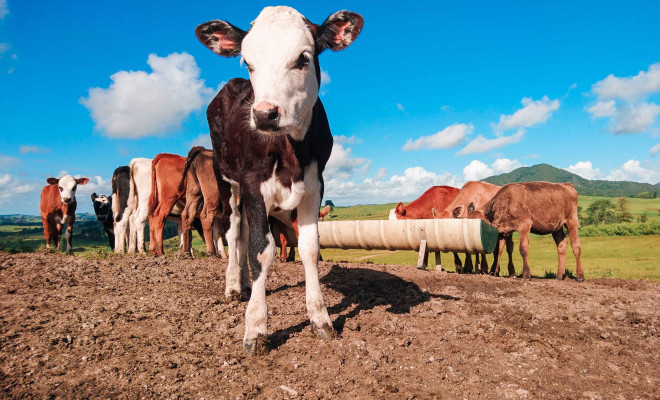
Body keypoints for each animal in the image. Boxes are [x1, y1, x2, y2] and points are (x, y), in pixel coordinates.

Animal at [196, 6, 364, 354]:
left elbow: (310, 248)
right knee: (234, 233)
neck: (291, 151)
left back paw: (244, 283)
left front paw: (320, 319)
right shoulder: (252, 184)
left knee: (243, 235)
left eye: (303, 58)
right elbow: (261, 249)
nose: (264, 114)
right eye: (248, 62)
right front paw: (256, 327)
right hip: (227, 181)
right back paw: (233, 285)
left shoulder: (315, 183)